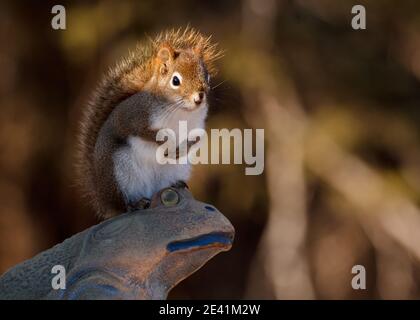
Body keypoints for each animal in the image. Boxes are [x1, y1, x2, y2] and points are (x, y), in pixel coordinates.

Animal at [76, 27, 221, 219]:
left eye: (208, 76)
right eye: (175, 80)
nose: (199, 97)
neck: (180, 111)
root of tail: (104, 200)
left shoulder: (196, 125)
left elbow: (196, 137)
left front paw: (187, 146)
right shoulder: (136, 117)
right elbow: (146, 132)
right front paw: (167, 143)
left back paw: (175, 184)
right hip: (120, 173)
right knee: (122, 204)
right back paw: (134, 204)